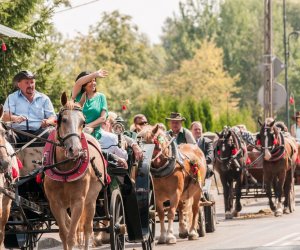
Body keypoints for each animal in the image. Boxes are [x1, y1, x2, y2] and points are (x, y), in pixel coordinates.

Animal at [42, 93, 106, 249]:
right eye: (64, 119)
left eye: (83, 122)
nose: (75, 150)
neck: (65, 169)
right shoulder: (55, 203)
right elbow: (64, 235)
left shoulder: (78, 202)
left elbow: (71, 237)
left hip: (91, 201)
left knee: (87, 228)